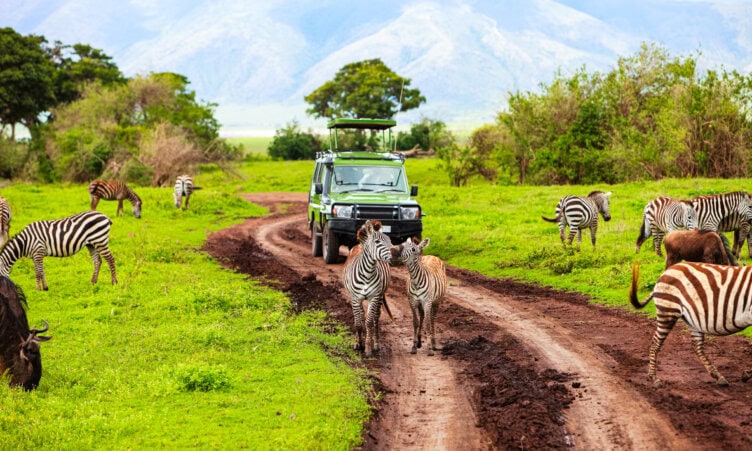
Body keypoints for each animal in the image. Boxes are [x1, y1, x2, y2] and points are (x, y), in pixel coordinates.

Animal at [342, 220, 393, 357]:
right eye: (377, 242)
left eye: (390, 240)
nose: (395, 253)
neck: (367, 273)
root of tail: (360, 244)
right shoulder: (355, 298)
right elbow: (358, 322)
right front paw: (358, 344)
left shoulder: (373, 297)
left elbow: (369, 322)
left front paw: (368, 348)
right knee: (360, 316)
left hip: (380, 296)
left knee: (376, 318)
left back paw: (376, 343)